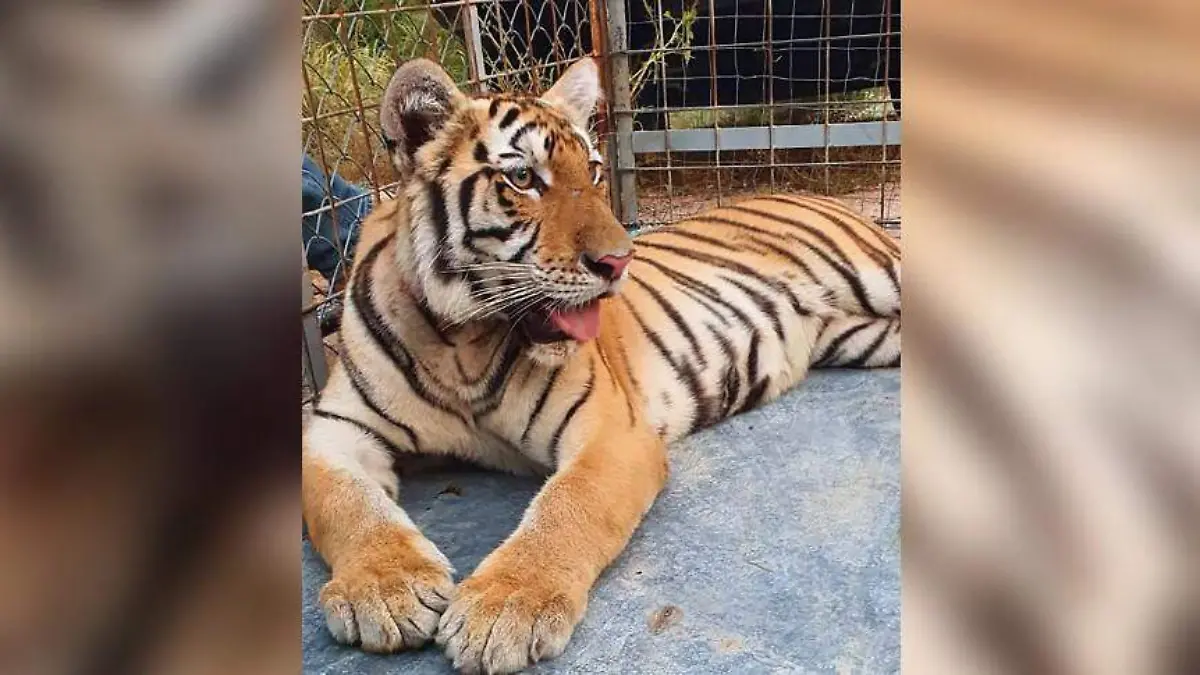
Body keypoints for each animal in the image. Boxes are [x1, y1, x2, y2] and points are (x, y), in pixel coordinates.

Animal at [302, 56, 900, 674]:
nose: (619, 262)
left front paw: (502, 608)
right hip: (860, 338)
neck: (460, 343)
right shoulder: (335, 430)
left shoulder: (612, 430)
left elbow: (568, 506)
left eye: (591, 170)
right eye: (523, 179)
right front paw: (386, 589)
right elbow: (347, 504)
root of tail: (817, 194)